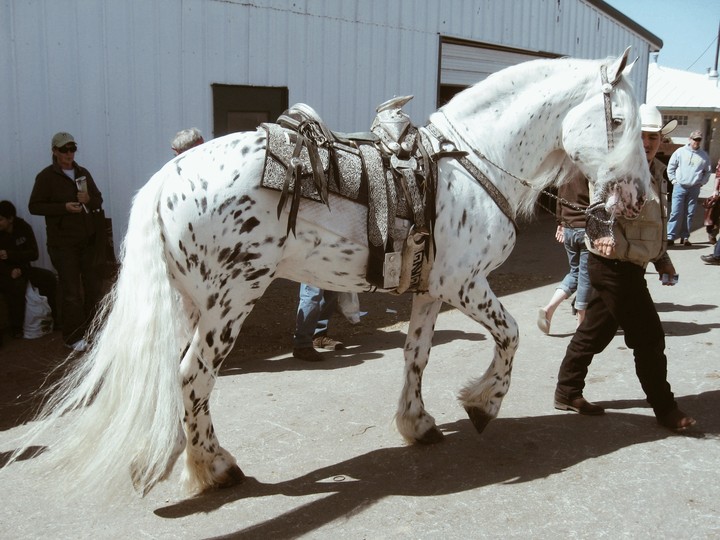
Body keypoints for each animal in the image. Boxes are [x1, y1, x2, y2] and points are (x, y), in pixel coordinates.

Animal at [10, 48, 650, 498]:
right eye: (619, 118)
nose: (637, 196)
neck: (471, 163)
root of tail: (169, 176)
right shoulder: (465, 284)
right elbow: (511, 334)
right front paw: (482, 404)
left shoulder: (430, 290)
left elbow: (416, 354)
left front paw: (417, 423)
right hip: (231, 299)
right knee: (195, 375)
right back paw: (215, 467)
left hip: (191, 300)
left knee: (176, 373)